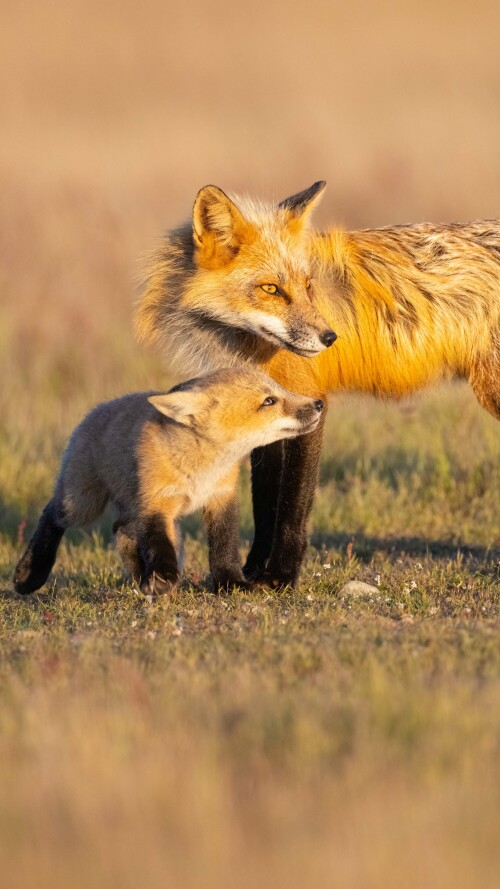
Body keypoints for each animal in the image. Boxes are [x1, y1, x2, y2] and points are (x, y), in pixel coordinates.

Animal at [14, 368, 324, 596]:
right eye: (268, 401)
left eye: (281, 389)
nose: (318, 403)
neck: (202, 471)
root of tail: (99, 408)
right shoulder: (156, 503)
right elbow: (159, 545)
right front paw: (163, 576)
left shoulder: (221, 498)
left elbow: (224, 547)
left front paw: (230, 583)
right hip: (83, 504)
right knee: (53, 513)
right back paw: (30, 573)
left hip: (134, 510)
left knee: (121, 529)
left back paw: (140, 576)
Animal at [137, 181, 500, 588]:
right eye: (271, 289)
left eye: (308, 285)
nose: (330, 338)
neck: (245, 345)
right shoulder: (265, 411)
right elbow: (264, 503)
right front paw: (253, 570)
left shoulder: (311, 404)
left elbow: (292, 505)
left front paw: (281, 576)